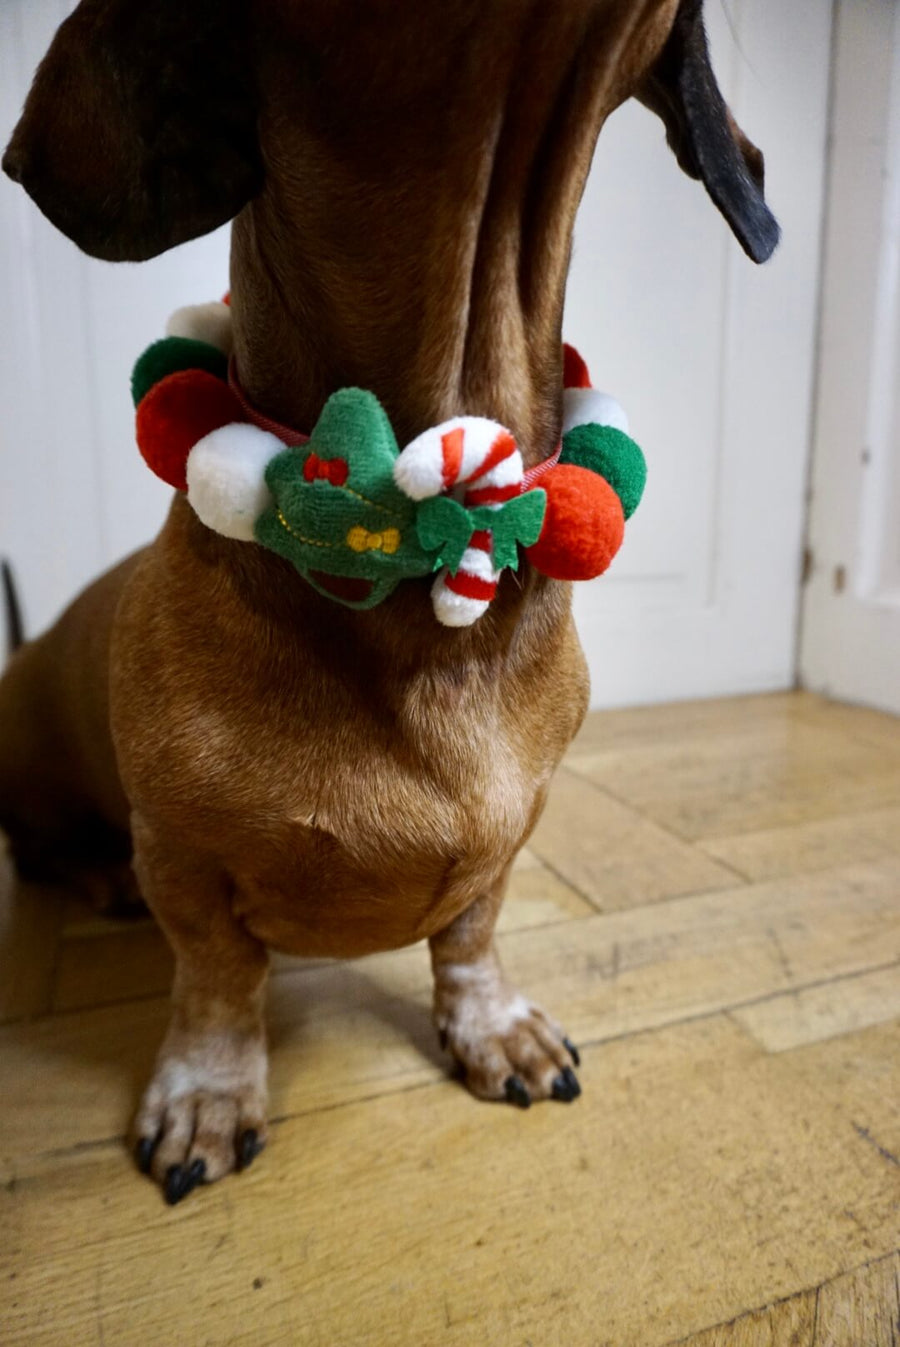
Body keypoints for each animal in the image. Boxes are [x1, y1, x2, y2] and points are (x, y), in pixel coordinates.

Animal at [0, 0, 776, 1201]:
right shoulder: (183, 857)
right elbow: (216, 977)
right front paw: (209, 1090)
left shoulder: (512, 837)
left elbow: (470, 935)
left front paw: (492, 1025)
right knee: (44, 853)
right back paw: (94, 878)